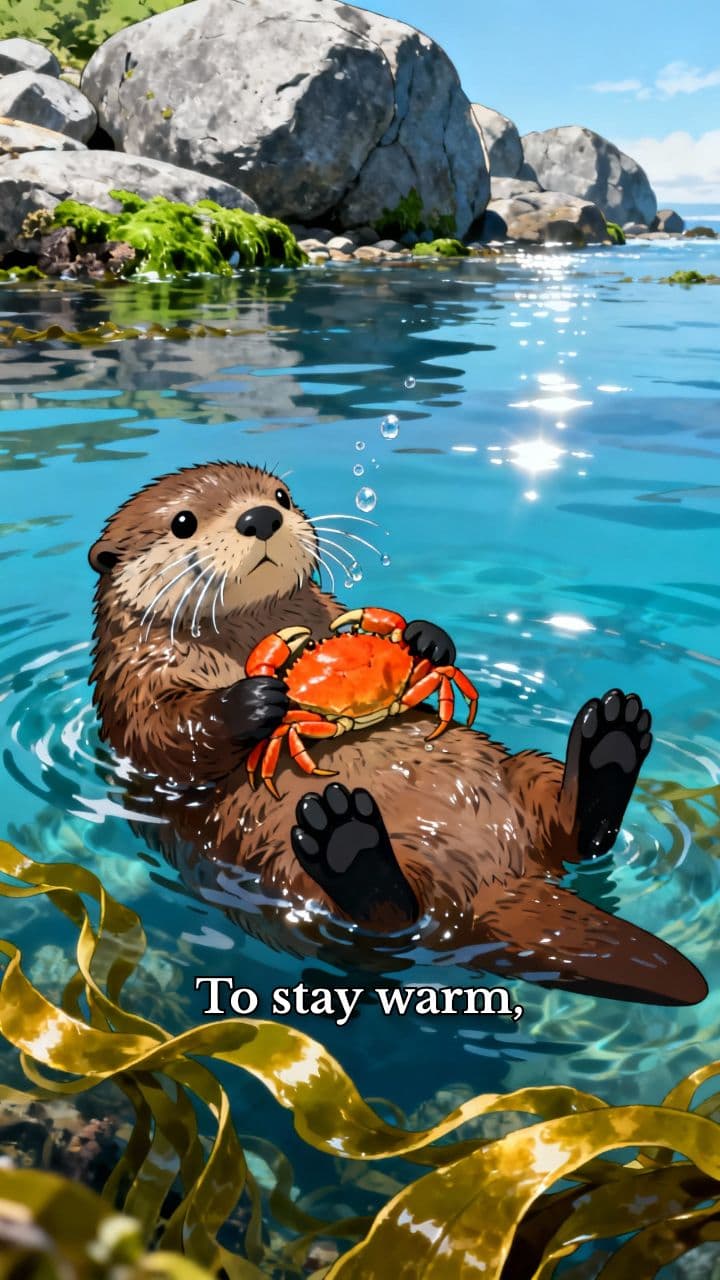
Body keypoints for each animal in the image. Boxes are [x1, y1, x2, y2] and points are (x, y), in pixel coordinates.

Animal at [88, 461, 707, 1006]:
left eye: (281, 495)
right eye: (183, 521)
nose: (260, 517)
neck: (247, 636)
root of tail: (492, 883)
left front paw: (426, 638)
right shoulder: (135, 679)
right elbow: (167, 735)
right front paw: (255, 700)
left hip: (523, 771)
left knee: (576, 832)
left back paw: (611, 740)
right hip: (280, 869)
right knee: (384, 926)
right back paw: (346, 841)